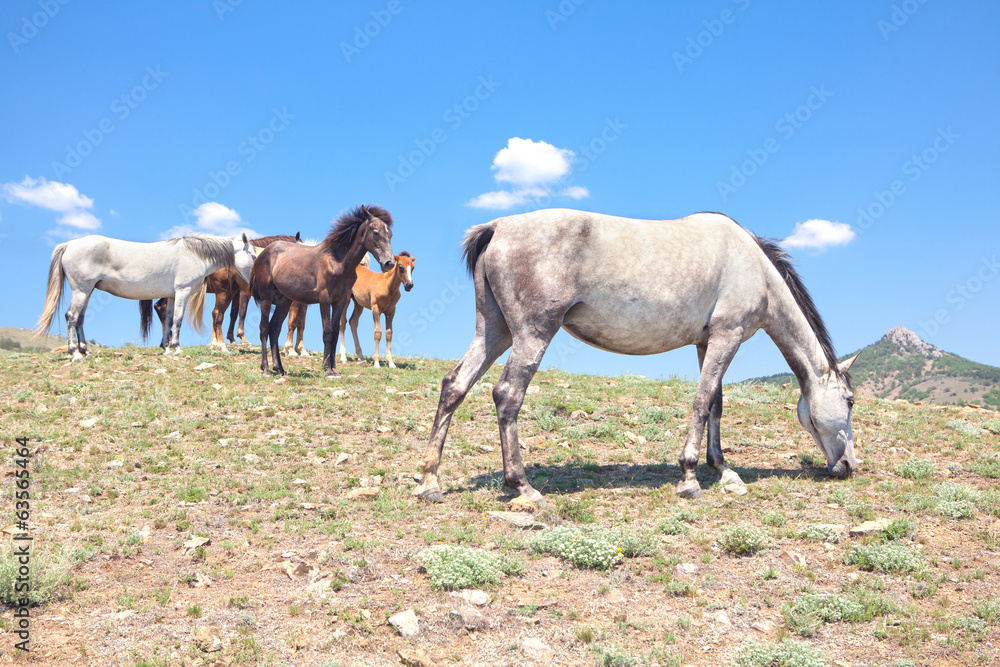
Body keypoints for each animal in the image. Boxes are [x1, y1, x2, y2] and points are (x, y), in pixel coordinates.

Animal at [35, 234, 256, 359]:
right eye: (253, 255)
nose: (254, 280)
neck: (194, 255)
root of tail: (68, 244)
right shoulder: (182, 291)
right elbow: (178, 319)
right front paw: (176, 348)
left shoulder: (173, 295)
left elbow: (169, 321)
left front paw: (166, 348)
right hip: (81, 290)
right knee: (71, 317)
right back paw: (74, 352)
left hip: (87, 291)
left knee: (79, 319)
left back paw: (85, 351)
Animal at [142, 234, 303, 353]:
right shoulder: (241, 293)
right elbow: (240, 312)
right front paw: (240, 338)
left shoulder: (235, 291)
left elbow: (233, 313)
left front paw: (230, 338)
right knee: (162, 308)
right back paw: (168, 342)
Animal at [250, 204, 395, 378]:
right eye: (375, 232)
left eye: (390, 234)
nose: (389, 263)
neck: (337, 262)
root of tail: (264, 253)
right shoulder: (324, 299)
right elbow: (327, 332)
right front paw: (327, 369)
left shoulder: (340, 301)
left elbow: (335, 333)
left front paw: (334, 369)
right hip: (266, 297)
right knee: (264, 328)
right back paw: (265, 368)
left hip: (284, 301)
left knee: (274, 329)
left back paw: (279, 368)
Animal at [412, 209, 858, 506]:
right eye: (851, 402)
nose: (848, 467)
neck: (753, 265)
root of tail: (498, 227)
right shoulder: (727, 336)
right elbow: (702, 402)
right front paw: (690, 476)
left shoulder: (707, 342)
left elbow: (715, 402)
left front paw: (721, 468)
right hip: (532, 333)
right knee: (507, 395)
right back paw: (523, 485)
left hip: (494, 331)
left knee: (455, 385)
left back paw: (431, 480)